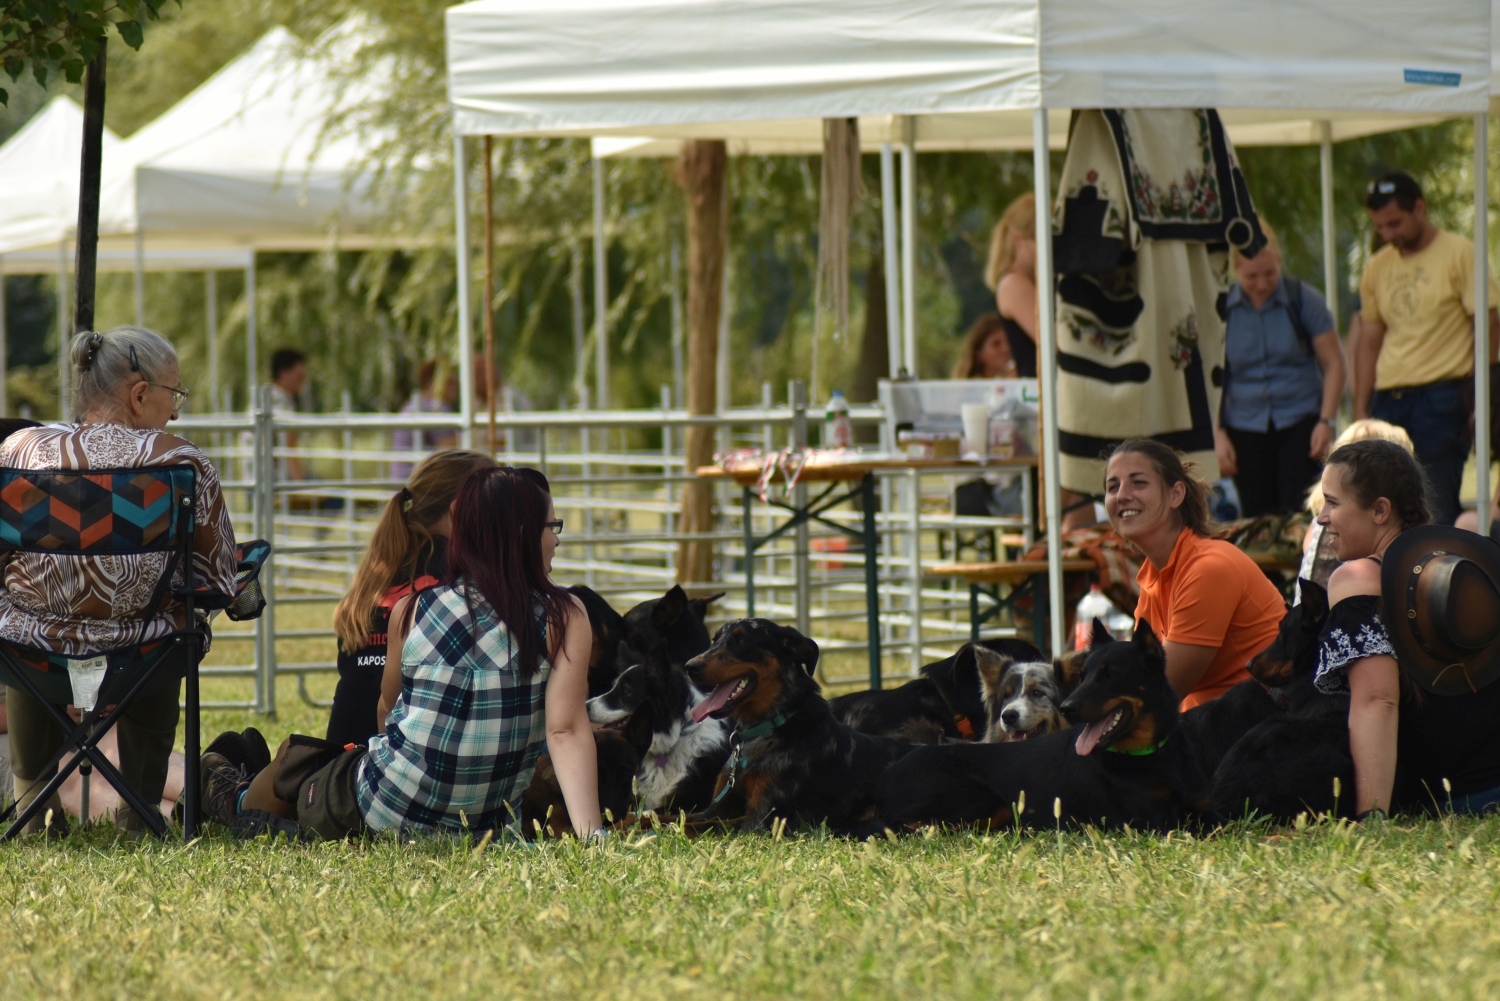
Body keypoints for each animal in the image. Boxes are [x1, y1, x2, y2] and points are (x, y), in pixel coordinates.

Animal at [684, 618, 912, 840]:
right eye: (714, 640)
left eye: (740, 642)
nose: (689, 667)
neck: (765, 728)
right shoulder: (720, 805)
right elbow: (682, 816)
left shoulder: (765, 820)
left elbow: (698, 826)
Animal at [864, 621, 1212, 834]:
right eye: (1082, 675)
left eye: (1109, 674)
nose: (1068, 707)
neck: (1149, 753)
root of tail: (886, 774)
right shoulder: (1156, 820)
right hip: (982, 798)